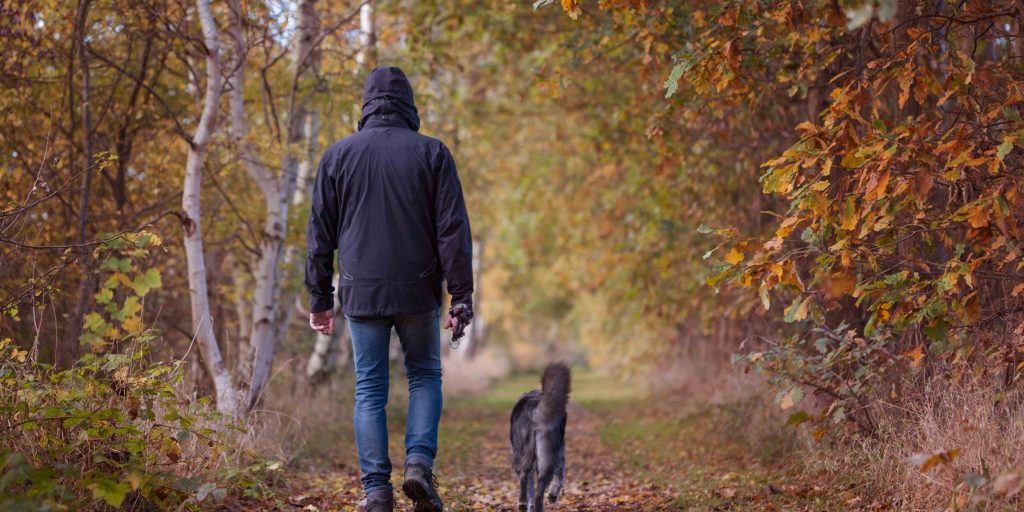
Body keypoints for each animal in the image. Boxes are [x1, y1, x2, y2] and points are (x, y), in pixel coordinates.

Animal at [509, 362, 573, 509]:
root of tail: (533, 406)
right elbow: (560, 473)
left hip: (531, 454)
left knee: (525, 477)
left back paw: (523, 503)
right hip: (545, 456)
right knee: (536, 489)